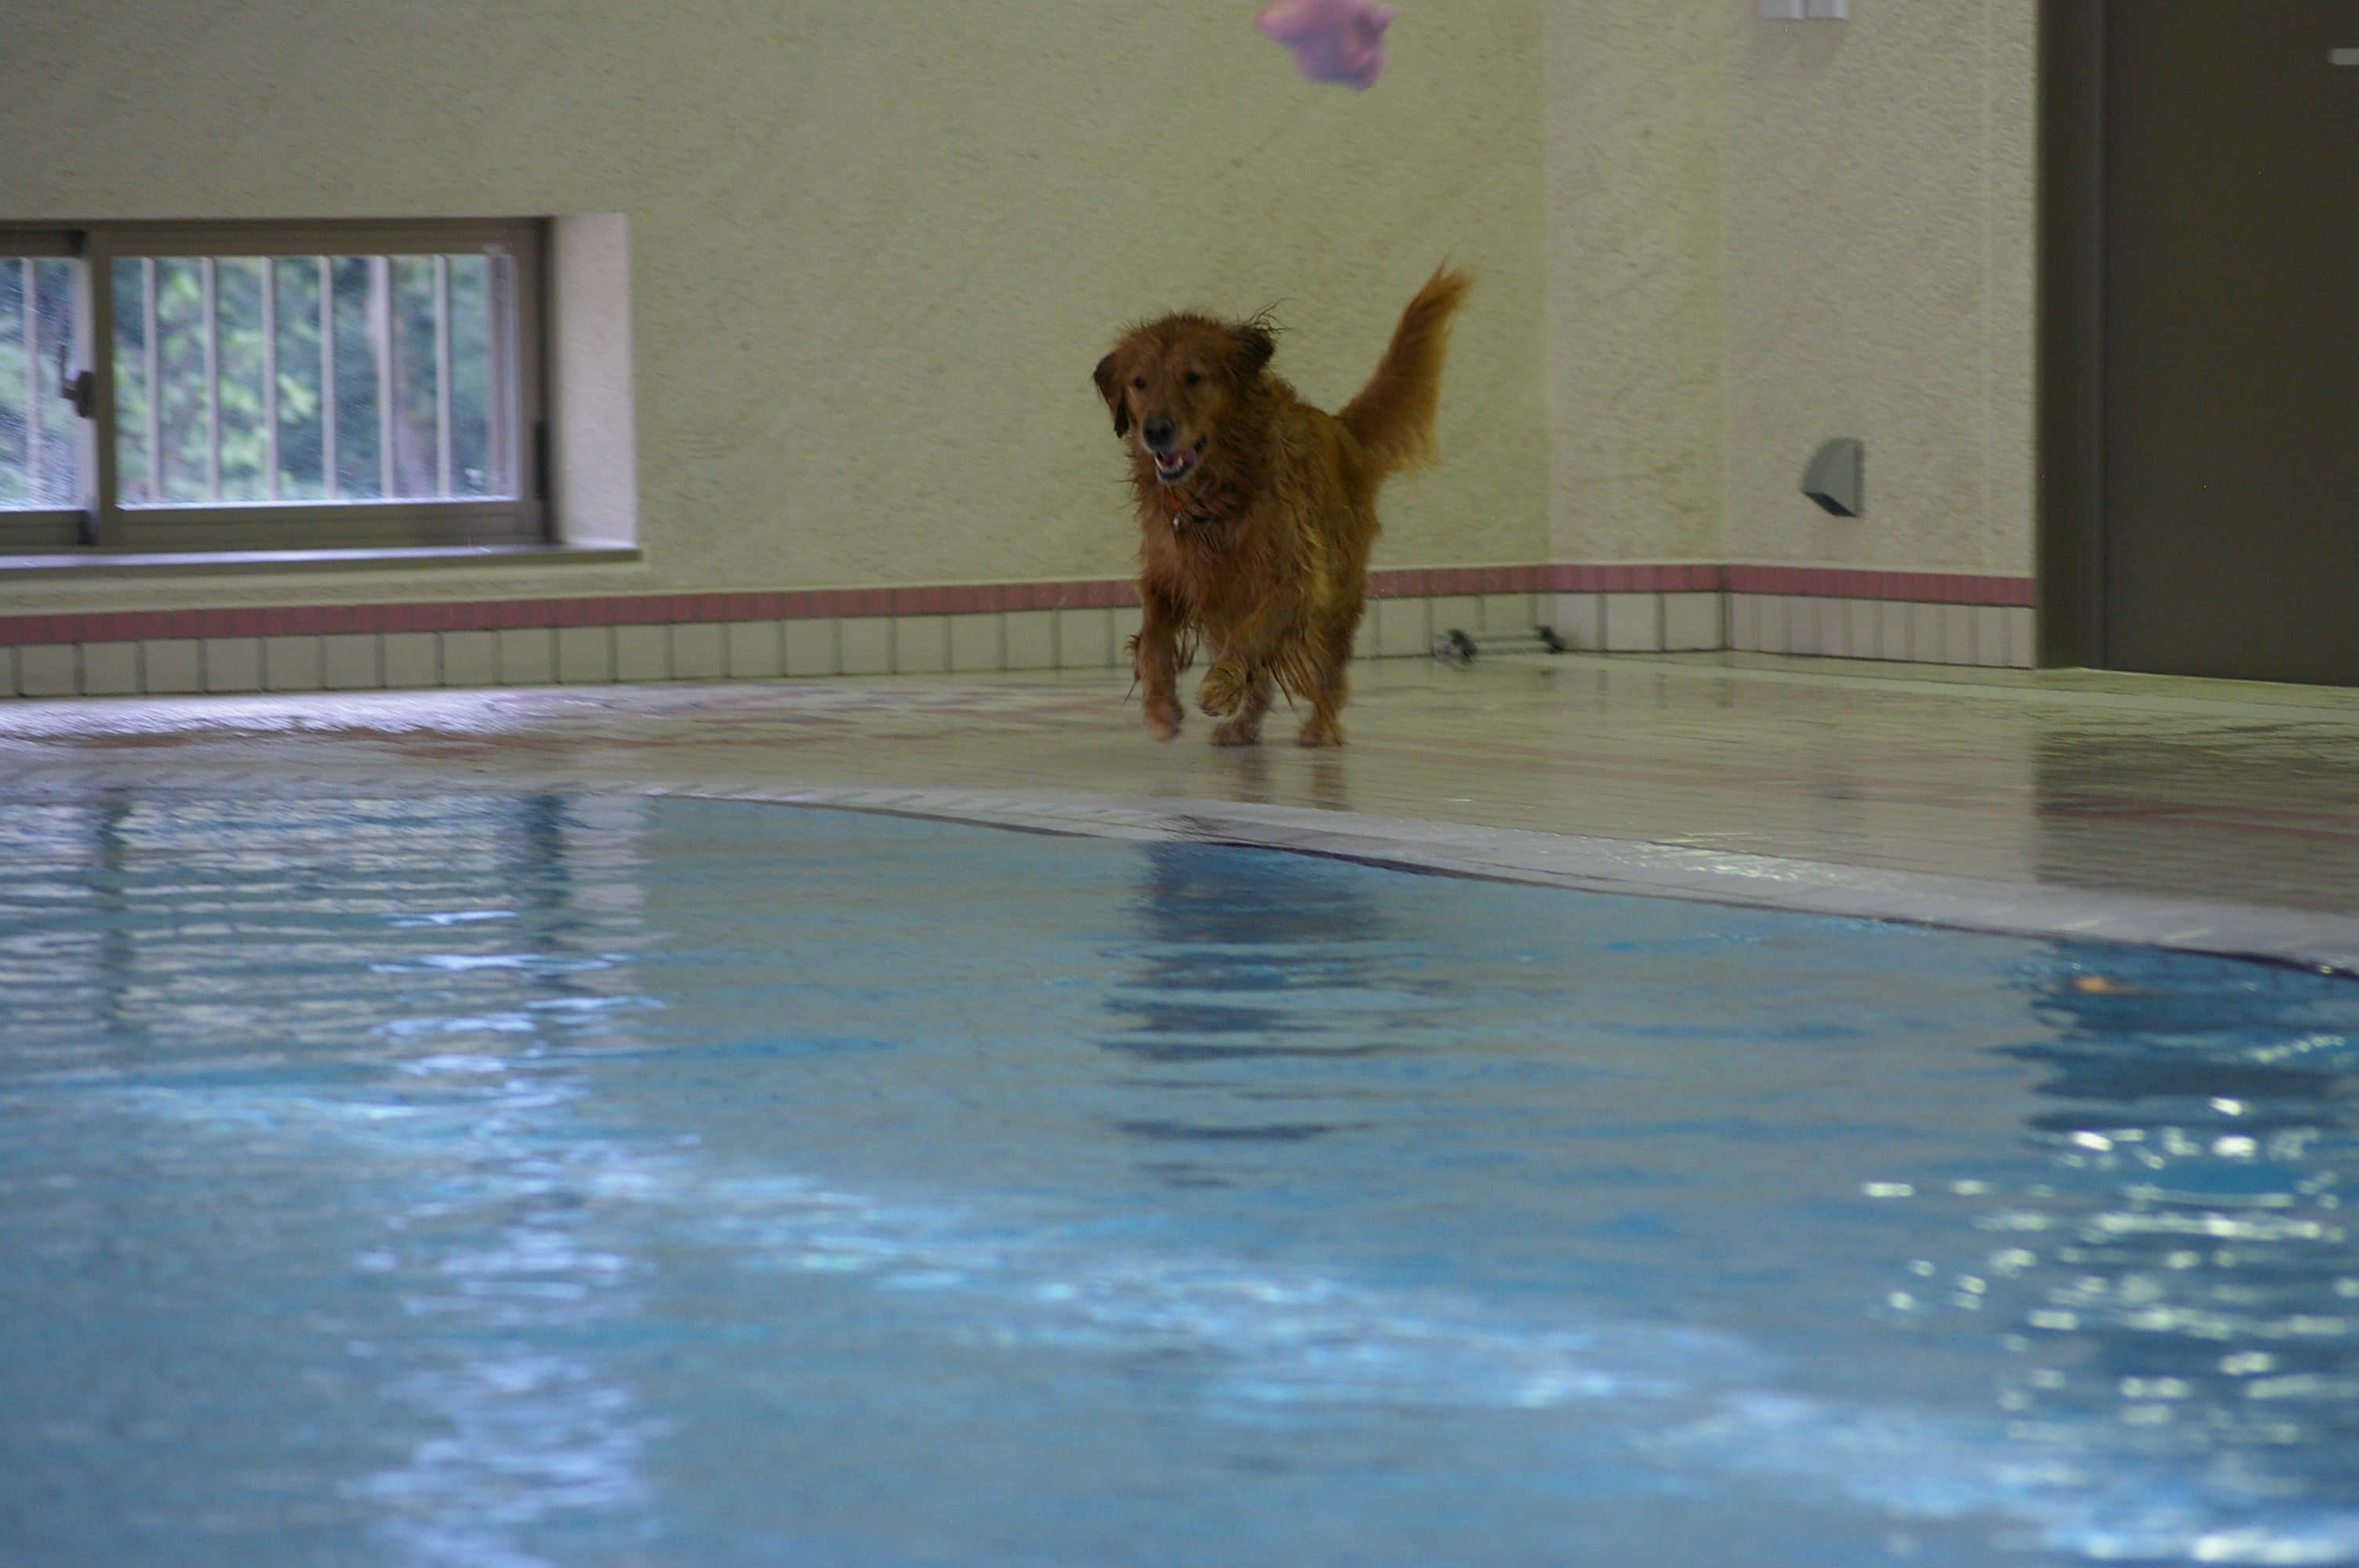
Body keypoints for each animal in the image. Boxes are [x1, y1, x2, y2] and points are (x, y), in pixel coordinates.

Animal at [1093, 265, 1470, 747]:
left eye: (1194, 378)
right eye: (1139, 382)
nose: (1156, 430)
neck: (1216, 495)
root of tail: (1341, 428)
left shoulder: (1296, 577)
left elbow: (1254, 634)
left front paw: (1220, 685)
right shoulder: (1172, 575)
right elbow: (1155, 636)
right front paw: (1160, 706)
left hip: (1338, 595)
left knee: (1328, 671)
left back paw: (1320, 727)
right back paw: (1242, 726)